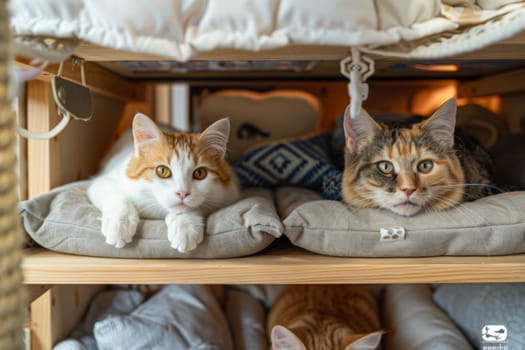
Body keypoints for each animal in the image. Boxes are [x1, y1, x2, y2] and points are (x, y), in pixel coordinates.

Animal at [87, 113, 239, 253]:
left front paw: (185, 227)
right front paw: (119, 225)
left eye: (200, 173)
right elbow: (117, 197)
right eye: (162, 171)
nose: (182, 193)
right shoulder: (102, 181)